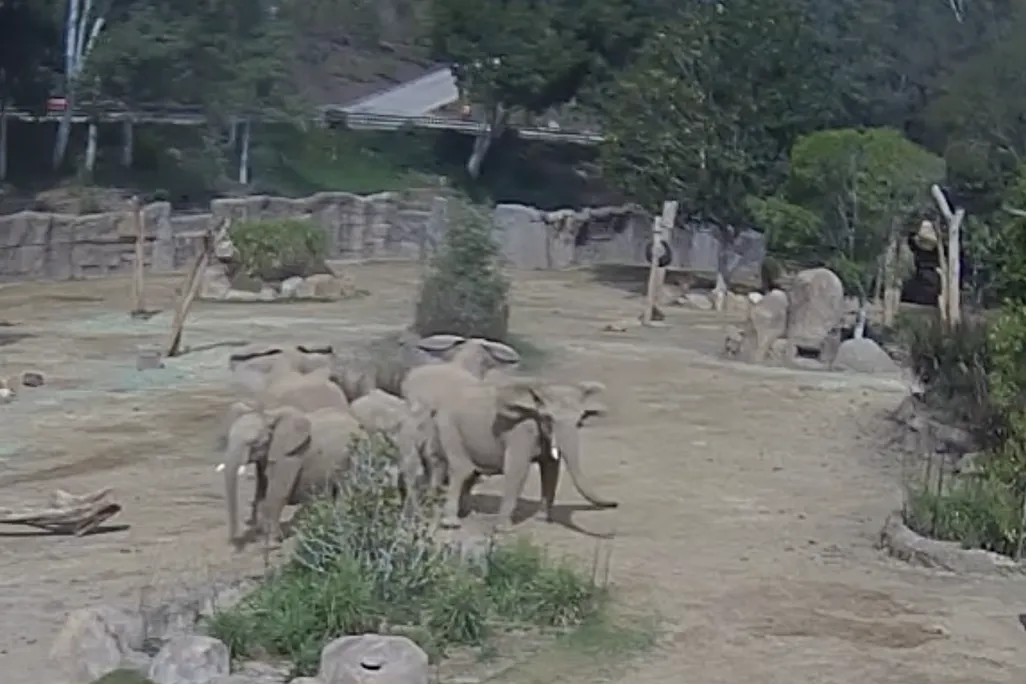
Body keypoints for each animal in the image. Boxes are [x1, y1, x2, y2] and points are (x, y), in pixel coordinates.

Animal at [222, 404, 364, 543]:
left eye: (253, 442)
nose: (233, 540)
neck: (269, 415)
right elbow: (261, 490)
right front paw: (260, 534)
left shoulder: (291, 456)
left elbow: (277, 493)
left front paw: (273, 542)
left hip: (354, 455)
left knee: (346, 488)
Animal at [421, 376, 617, 531]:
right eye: (548, 418)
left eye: (580, 421)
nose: (616, 503)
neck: (541, 388)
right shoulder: (521, 430)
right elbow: (518, 470)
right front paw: (503, 530)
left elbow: (550, 469)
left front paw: (541, 521)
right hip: (448, 426)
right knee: (462, 469)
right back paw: (451, 523)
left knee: (461, 471)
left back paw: (457, 512)